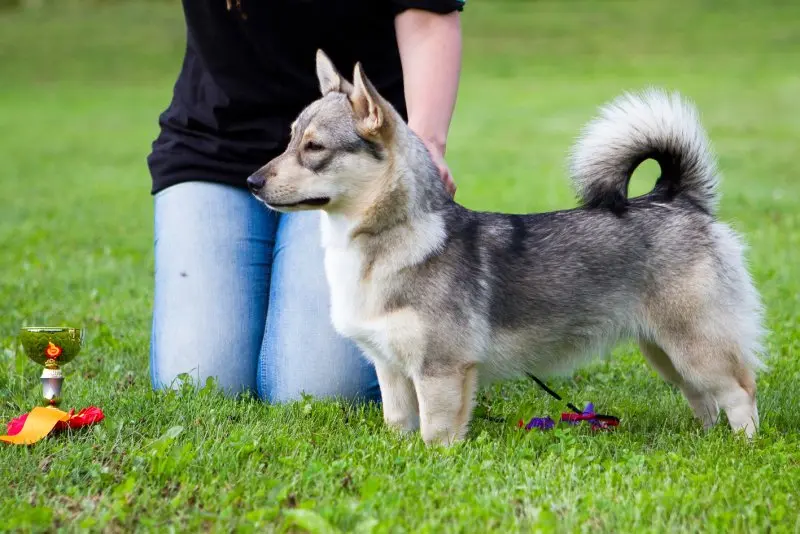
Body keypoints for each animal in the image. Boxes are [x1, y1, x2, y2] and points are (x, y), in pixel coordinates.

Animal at [245, 50, 768, 446]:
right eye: (289, 141)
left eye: (314, 148)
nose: (251, 182)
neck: (392, 243)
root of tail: (675, 197)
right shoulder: (391, 371)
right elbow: (399, 426)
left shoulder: (441, 371)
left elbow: (436, 435)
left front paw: (432, 464)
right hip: (663, 349)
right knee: (702, 398)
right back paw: (706, 440)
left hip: (694, 344)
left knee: (740, 392)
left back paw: (743, 447)